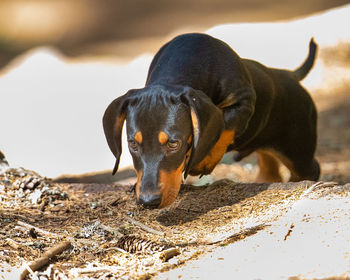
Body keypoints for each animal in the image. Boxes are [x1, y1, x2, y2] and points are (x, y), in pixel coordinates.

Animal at [102, 32, 320, 208]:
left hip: (297, 151)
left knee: (310, 169)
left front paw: (203, 161)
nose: (148, 202)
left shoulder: (244, 101)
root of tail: (291, 75)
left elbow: (224, 125)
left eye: (174, 144)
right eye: (132, 144)